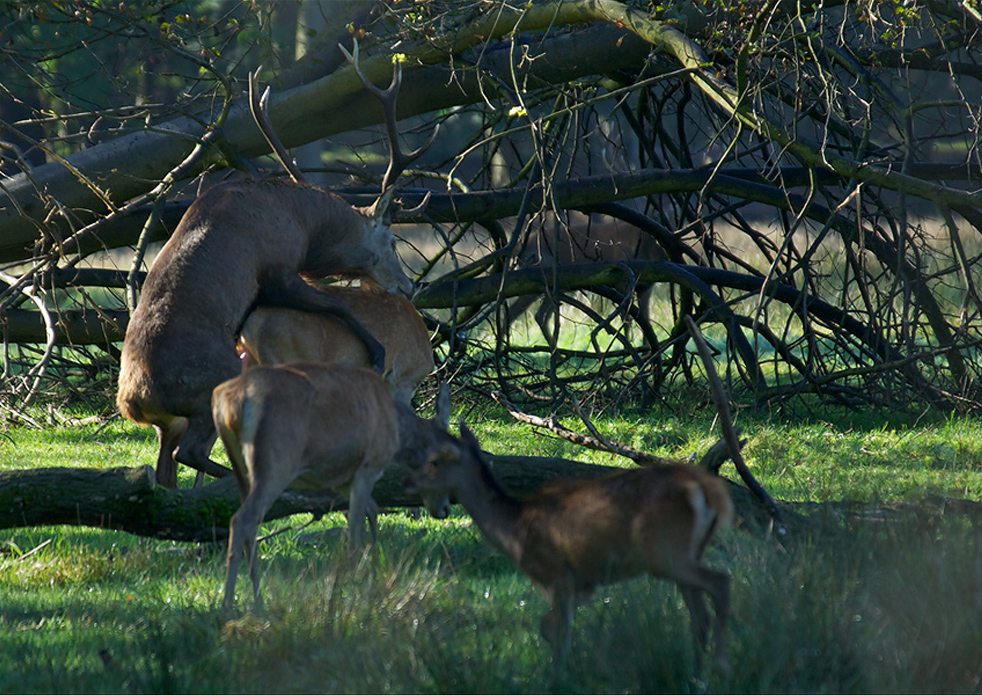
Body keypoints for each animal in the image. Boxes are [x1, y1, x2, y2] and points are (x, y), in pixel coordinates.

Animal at [213, 362, 454, 612]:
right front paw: (356, 587)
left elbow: (371, 510)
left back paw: (258, 601)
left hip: (241, 468)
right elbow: (356, 529)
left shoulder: (340, 480)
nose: (446, 508)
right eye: (443, 461)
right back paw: (228, 604)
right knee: (242, 519)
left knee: (250, 523)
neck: (397, 433)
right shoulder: (368, 467)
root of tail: (228, 401)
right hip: (276, 461)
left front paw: (373, 572)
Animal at [410, 425, 733, 671]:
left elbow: (556, 629)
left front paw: (561, 674)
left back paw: (720, 665)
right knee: (699, 614)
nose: (409, 482)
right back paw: (696, 671)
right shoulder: (585, 582)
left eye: (435, 461)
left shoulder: (557, 574)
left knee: (721, 582)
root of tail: (706, 490)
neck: (513, 531)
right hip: (686, 552)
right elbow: (548, 625)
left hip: (666, 551)